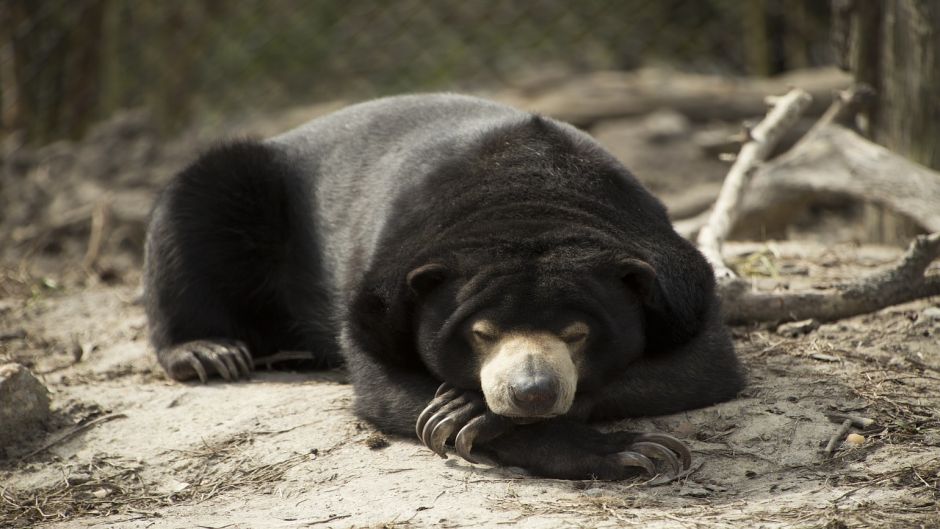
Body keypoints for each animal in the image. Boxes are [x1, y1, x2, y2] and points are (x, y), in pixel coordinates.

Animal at [144, 93, 744, 480]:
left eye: (578, 333)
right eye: (482, 332)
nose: (531, 392)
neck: (529, 197)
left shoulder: (680, 288)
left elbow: (700, 367)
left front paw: (471, 410)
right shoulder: (380, 297)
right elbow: (389, 387)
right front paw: (634, 452)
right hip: (249, 189)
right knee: (194, 209)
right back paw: (208, 352)